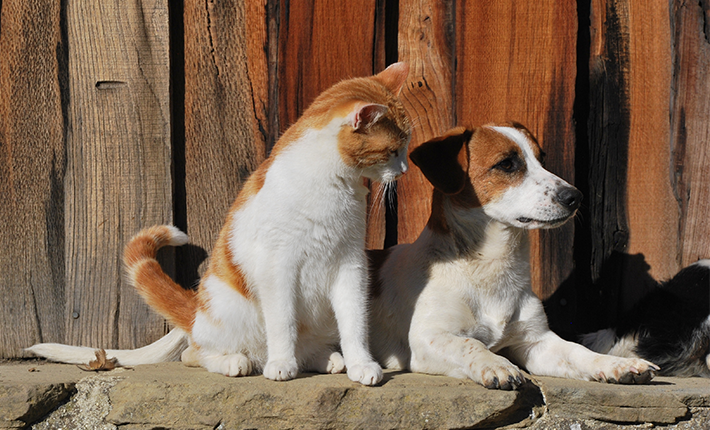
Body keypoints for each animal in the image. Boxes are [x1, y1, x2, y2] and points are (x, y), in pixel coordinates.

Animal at [27, 61, 412, 386]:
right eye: (394, 151)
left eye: (405, 148)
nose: (405, 170)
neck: (333, 183)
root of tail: (196, 307)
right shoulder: (278, 265)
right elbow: (282, 322)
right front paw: (280, 364)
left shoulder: (350, 263)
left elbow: (354, 323)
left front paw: (362, 364)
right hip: (227, 308)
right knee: (194, 354)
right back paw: (238, 361)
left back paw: (326, 358)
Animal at [368, 124, 660, 390]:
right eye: (507, 164)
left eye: (542, 160)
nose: (575, 196)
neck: (489, 268)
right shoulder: (427, 338)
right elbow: (470, 343)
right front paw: (495, 364)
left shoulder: (537, 341)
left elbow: (578, 351)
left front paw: (616, 364)